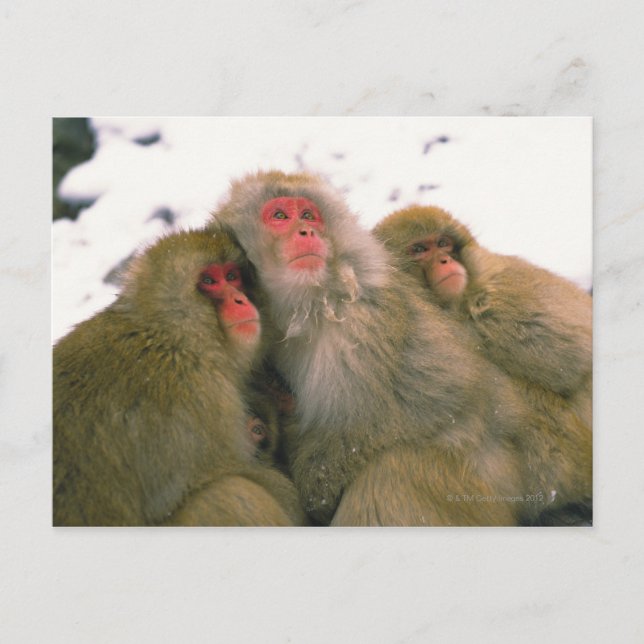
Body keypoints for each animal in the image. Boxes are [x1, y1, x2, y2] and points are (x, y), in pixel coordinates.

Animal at [53, 228, 306, 527]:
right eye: (209, 281)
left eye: (232, 276)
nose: (240, 300)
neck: (172, 335)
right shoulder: (205, 395)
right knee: (230, 494)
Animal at [211, 170, 540, 527]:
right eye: (281, 216)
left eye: (309, 215)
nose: (307, 231)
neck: (300, 304)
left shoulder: (360, 321)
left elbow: (407, 409)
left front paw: (315, 491)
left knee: (393, 472)